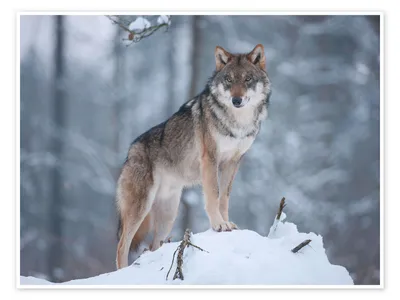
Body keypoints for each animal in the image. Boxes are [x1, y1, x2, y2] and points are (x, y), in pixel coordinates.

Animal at [115, 44, 272, 270]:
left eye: (248, 79)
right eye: (229, 80)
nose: (237, 100)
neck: (238, 124)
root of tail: (130, 151)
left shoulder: (233, 163)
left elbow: (224, 197)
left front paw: (227, 223)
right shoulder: (210, 159)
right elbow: (213, 195)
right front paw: (218, 225)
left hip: (169, 215)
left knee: (153, 245)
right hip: (140, 208)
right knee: (121, 246)